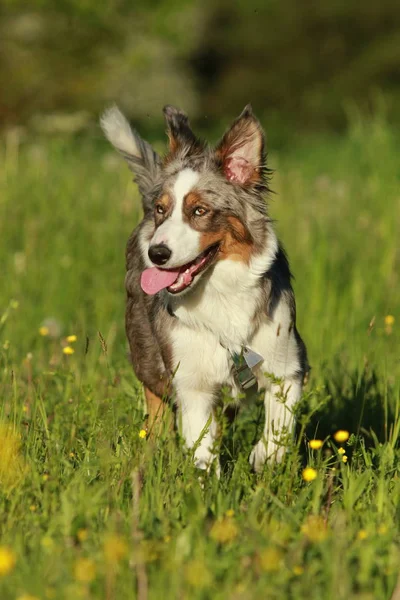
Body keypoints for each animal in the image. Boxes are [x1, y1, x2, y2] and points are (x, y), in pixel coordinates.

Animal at [101, 105, 308, 476]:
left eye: (199, 211)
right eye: (162, 210)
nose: (156, 253)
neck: (220, 293)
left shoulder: (289, 364)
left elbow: (277, 432)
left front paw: (261, 460)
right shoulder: (191, 382)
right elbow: (202, 454)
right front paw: (205, 487)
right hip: (147, 353)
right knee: (155, 412)